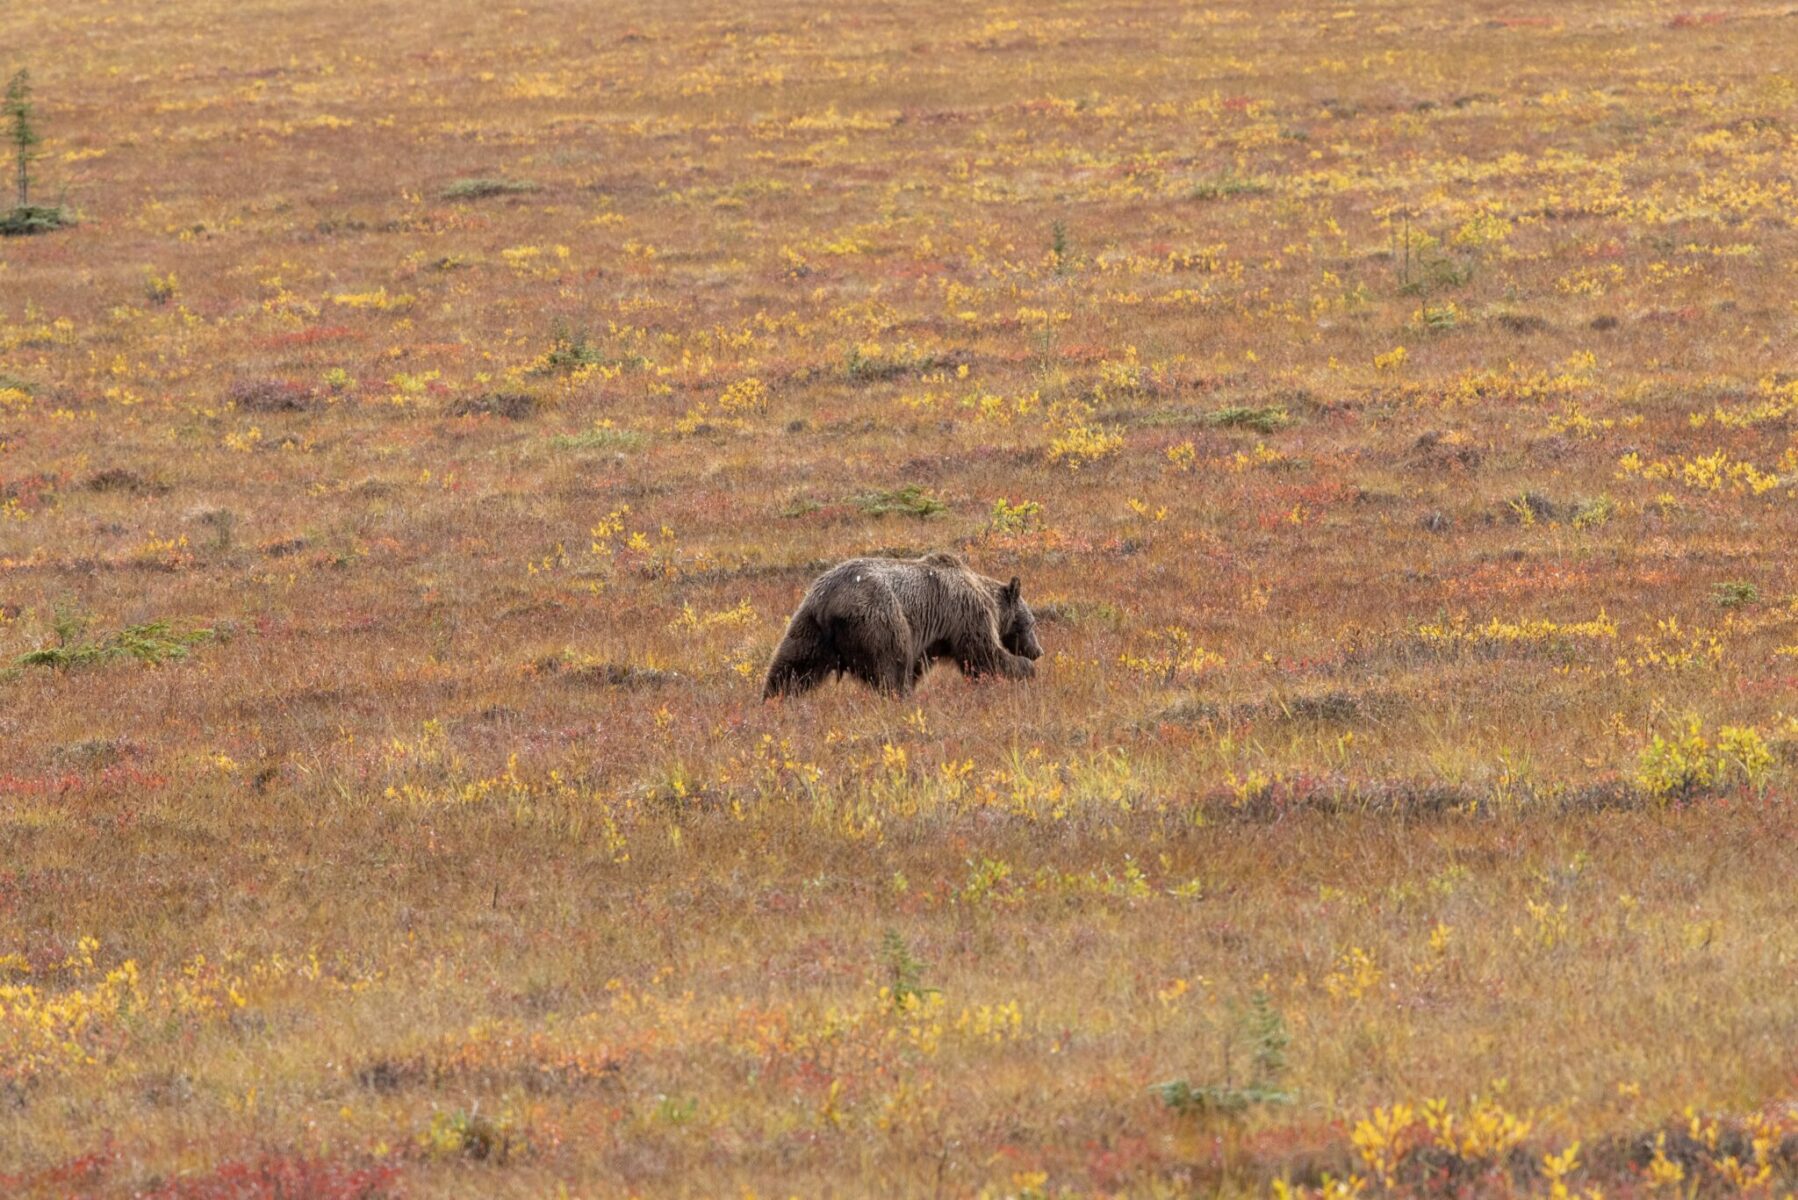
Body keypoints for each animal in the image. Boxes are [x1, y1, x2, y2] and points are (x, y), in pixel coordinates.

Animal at [758, 550, 1042, 698]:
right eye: (1031, 623)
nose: (1038, 651)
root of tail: (831, 603)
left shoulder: (933, 635)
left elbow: (921, 662)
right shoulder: (967, 614)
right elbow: (983, 653)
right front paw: (1024, 669)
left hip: (809, 622)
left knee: (793, 665)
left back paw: (774, 698)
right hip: (879, 618)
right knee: (892, 663)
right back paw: (901, 696)